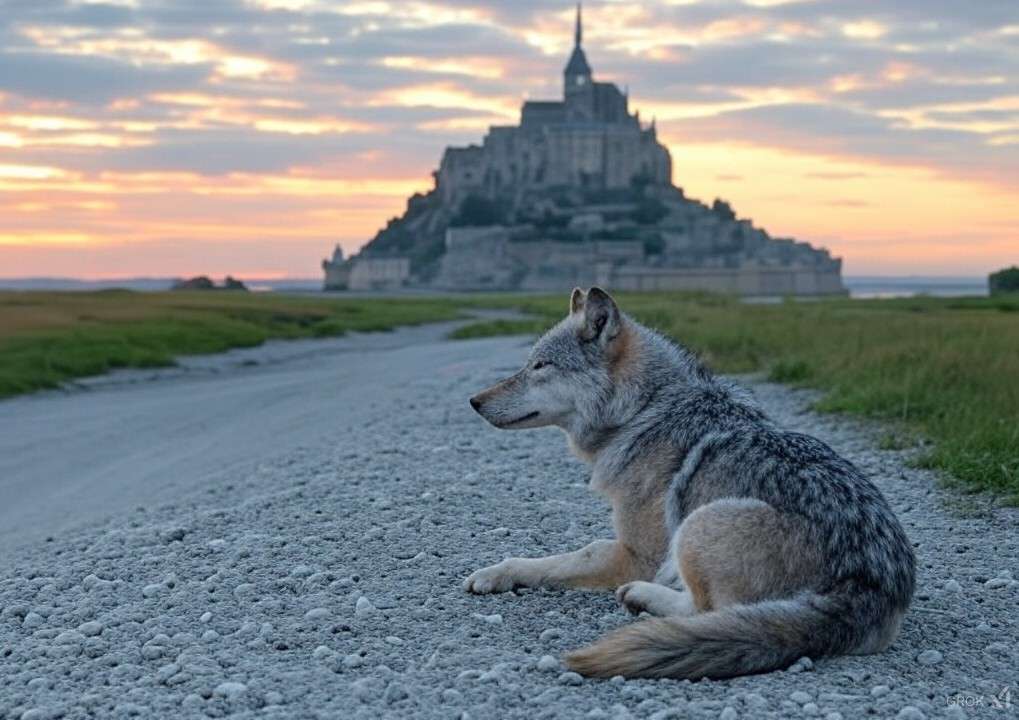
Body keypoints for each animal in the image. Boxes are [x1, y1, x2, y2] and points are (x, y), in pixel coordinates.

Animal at [465, 287, 915, 680]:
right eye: (529, 363)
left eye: (540, 366)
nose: (474, 401)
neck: (642, 411)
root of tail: (871, 584)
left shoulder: (637, 554)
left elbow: (563, 559)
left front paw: (496, 573)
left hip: (697, 524)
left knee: (703, 611)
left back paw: (642, 597)